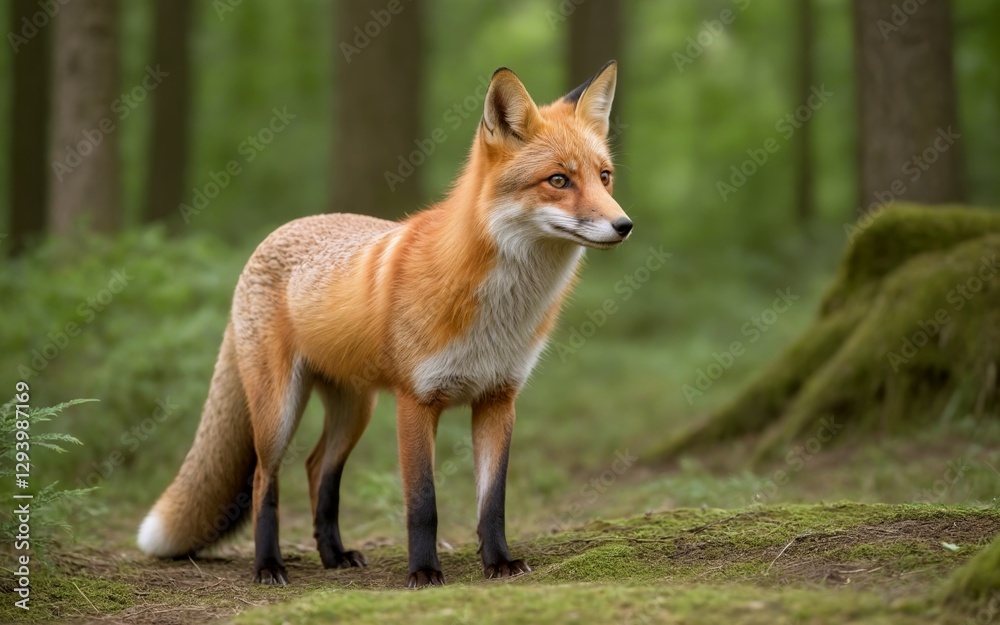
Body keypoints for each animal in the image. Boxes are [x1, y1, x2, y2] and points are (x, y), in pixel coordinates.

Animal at [137, 61, 632, 588]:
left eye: (605, 177)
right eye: (558, 180)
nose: (625, 225)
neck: (499, 312)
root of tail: (275, 233)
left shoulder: (498, 398)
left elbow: (492, 503)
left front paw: (498, 562)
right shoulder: (415, 402)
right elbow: (423, 503)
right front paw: (424, 572)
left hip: (355, 409)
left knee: (318, 469)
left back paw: (334, 555)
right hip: (279, 411)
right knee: (263, 480)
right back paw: (268, 565)